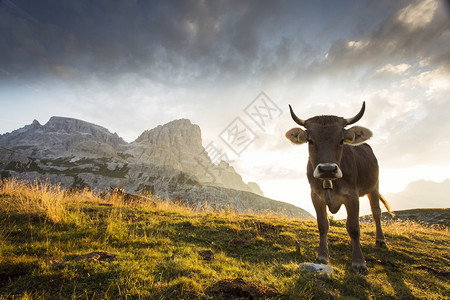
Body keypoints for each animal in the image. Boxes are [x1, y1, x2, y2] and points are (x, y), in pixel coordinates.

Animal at [286, 102, 392, 274]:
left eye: (342, 140)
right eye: (310, 141)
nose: (327, 169)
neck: (329, 181)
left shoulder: (352, 196)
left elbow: (354, 227)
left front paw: (359, 262)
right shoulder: (315, 196)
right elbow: (323, 224)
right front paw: (322, 256)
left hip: (374, 186)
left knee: (376, 212)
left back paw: (380, 240)